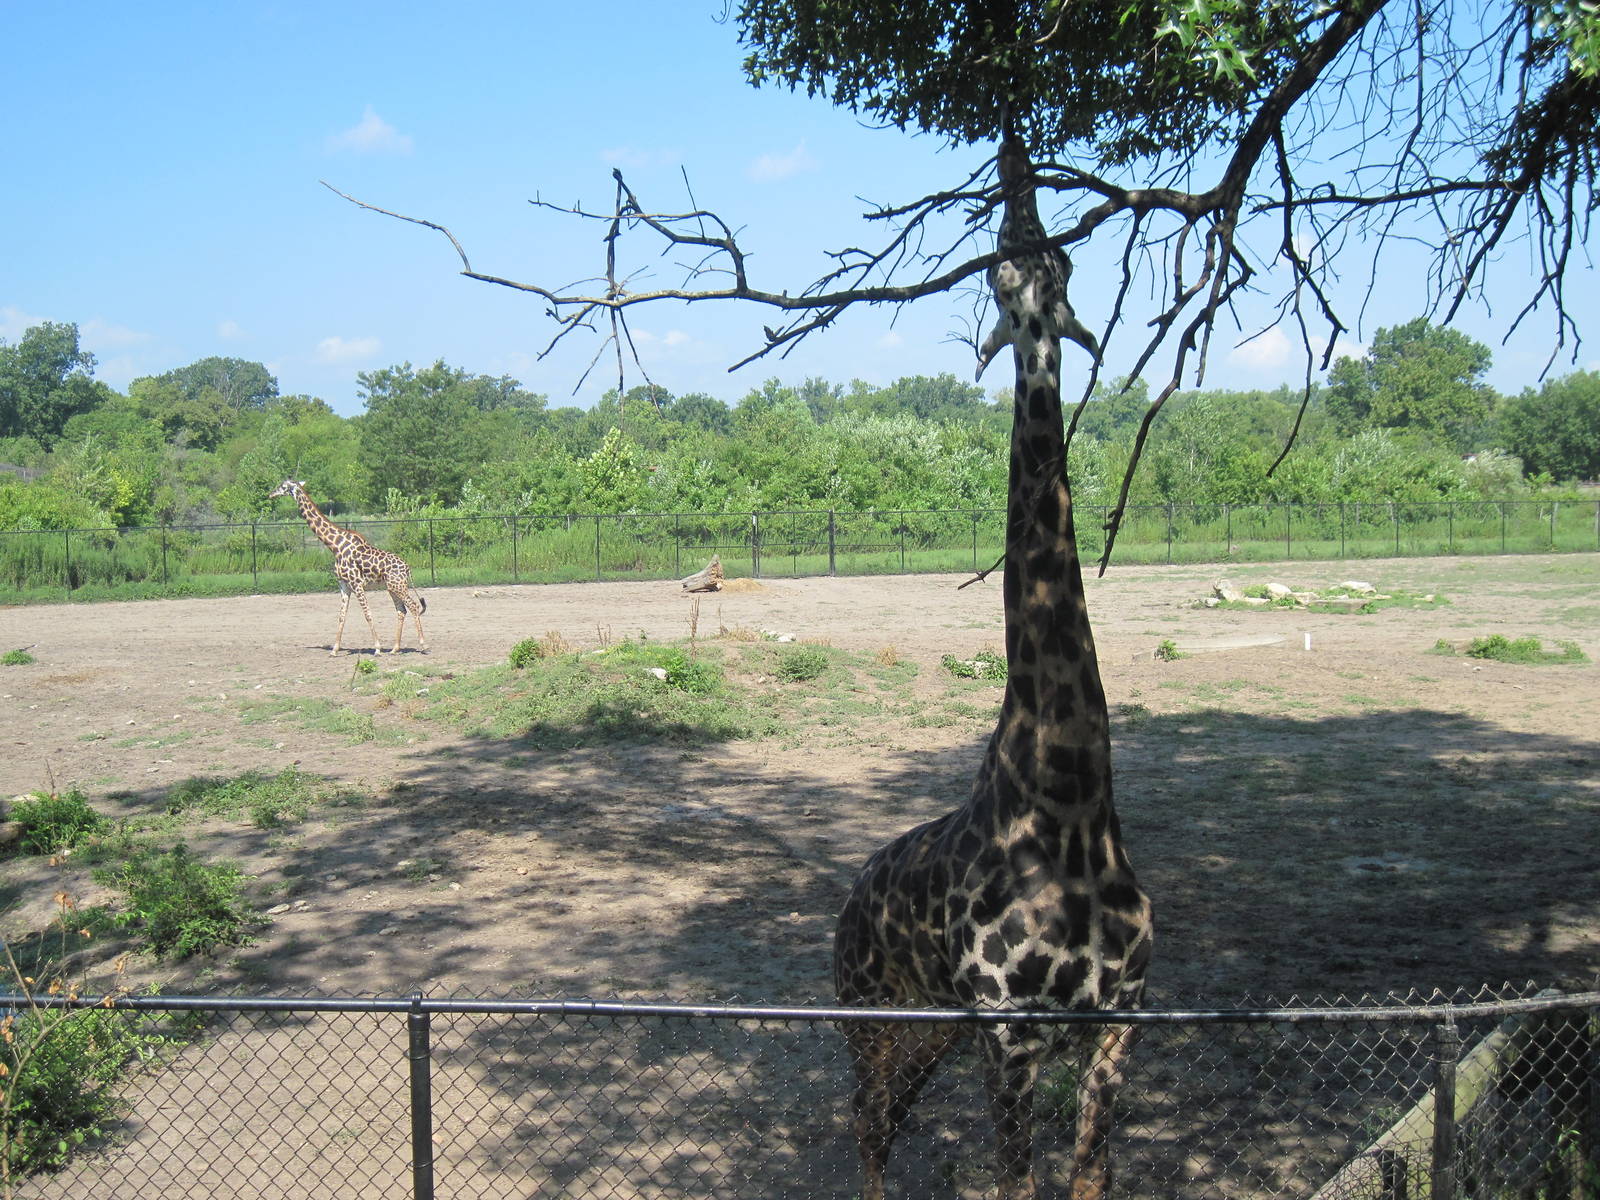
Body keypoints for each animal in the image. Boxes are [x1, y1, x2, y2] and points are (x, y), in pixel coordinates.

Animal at [268, 480, 428, 655]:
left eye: (283, 486)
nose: (270, 494)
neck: (335, 545)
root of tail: (407, 568)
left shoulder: (356, 584)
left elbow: (367, 613)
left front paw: (377, 648)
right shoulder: (344, 585)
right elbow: (341, 616)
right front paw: (334, 649)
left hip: (398, 586)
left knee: (413, 606)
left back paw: (423, 645)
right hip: (392, 587)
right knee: (401, 610)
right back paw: (395, 648)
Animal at [832, 136, 1152, 1200]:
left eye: (1065, 268)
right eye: (998, 277)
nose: (1015, 163)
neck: (1072, 796)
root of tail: (850, 895)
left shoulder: (1120, 1022)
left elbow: (1088, 1179)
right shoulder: (1010, 1035)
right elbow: (1017, 1182)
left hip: (934, 1026)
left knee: (889, 1118)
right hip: (865, 1011)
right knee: (866, 1127)